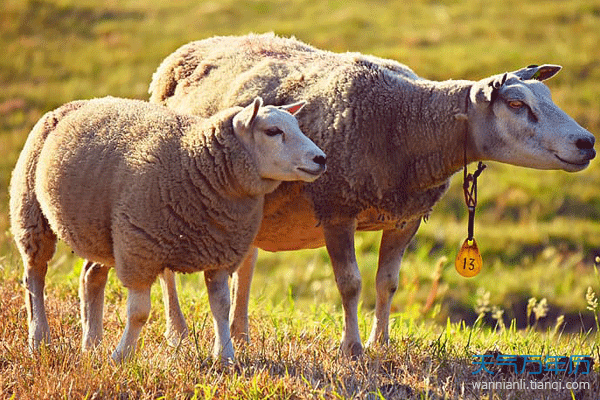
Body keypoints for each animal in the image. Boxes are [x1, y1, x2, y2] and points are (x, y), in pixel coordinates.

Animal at [9, 94, 326, 362]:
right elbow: (139, 313)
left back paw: (92, 345)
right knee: (34, 277)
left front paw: (225, 357)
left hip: (102, 231)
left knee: (90, 277)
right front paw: (121, 357)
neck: (195, 161)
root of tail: (73, 104)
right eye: (273, 131)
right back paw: (39, 340)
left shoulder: (220, 251)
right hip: (31, 213)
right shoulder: (140, 249)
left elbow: (221, 307)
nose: (321, 159)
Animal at [144, 32, 596, 356]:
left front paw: (382, 342)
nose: (587, 142)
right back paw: (177, 332)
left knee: (247, 264)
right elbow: (350, 284)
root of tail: (189, 48)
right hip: (170, 190)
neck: (406, 123)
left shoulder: (405, 217)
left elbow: (387, 283)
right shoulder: (336, 208)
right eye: (517, 104)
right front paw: (353, 347)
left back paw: (240, 334)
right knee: (167, 270)